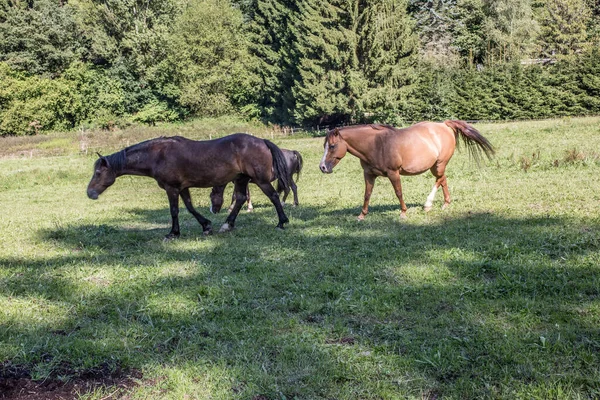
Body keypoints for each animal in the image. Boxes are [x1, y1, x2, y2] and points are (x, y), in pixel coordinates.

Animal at [86, 134, 290, 238]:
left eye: (98, 173)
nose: (90, 193)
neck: (157, 155)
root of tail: (262, 141)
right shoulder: (182, 188)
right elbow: (190, 208)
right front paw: (206, 226)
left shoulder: (172, 188)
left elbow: (174, 211)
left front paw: (173, 233)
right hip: (241, 179)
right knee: (240, 199)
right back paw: (227, 225)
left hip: (260, 180)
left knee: (273, 196)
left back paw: (281, 222)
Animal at [318, 121, 492, 219]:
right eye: (324, 145)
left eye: (332, 146)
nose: (322, 167)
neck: (376, 145)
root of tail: (445, 125)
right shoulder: (369, 174)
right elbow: (367, 194)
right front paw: (362, 215)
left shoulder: (393, 173)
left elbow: (398, 192)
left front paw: (403, 213)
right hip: (436, 166)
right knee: (443, 180)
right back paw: (445, 204)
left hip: (439, 164)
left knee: (440, 180)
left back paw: (428, 205)